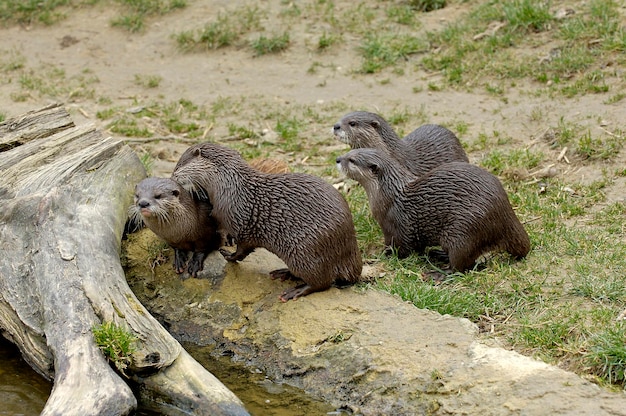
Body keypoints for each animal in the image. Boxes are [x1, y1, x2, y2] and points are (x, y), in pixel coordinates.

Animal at [173, 143, 364, 302]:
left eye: (179, 165)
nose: (173, 176)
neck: (230, 187)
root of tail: (350, 251)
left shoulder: (243, 224)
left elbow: (242, 249)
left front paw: (228, 255)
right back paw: (284, 273)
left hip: (306, 250)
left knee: (322, 282)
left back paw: (295, 290)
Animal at [336, 148, 528, 272]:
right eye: (349, 153)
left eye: (352, 160)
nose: (338, 159)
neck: (389, 196)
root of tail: (506, 214)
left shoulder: (396, 226)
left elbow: (400, 248)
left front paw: (383, 255)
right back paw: (438, 254)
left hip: (464, 230)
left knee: (462, 265)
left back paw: (440, 272)